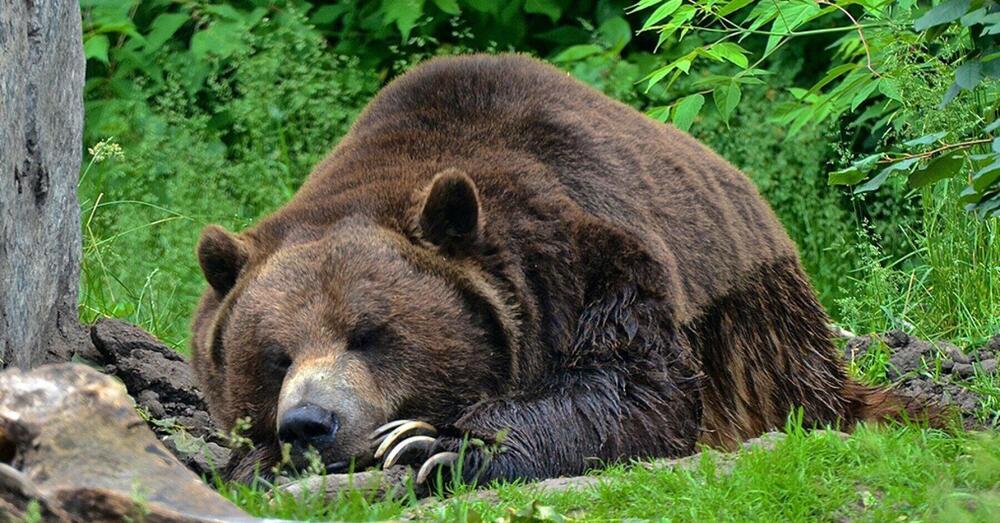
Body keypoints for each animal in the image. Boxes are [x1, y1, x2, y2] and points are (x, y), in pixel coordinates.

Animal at [193, 54, 928, 488]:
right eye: (276, 356)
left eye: (368, 334)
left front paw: (434, 443)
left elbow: (634, 387)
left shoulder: (586, 262)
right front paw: (258, 460)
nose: (309, 423)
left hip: (759, 332)